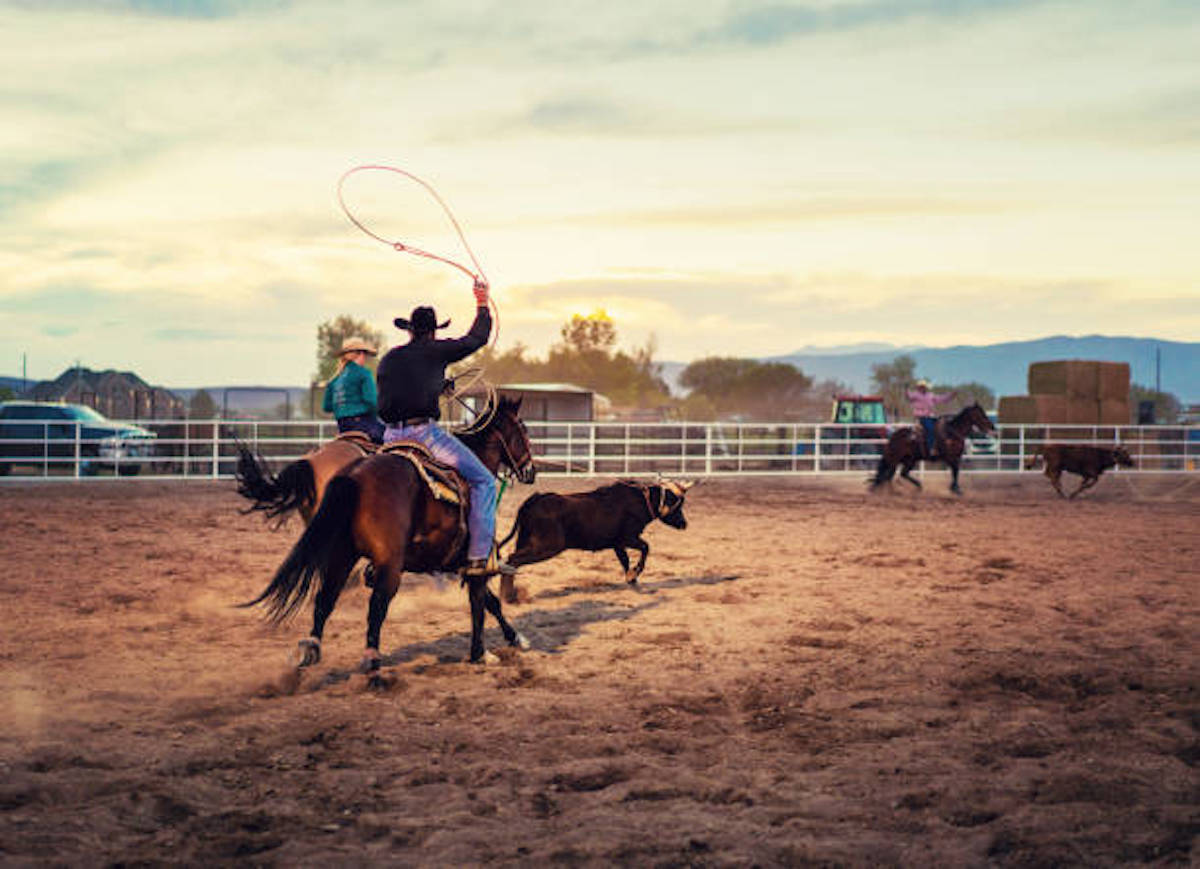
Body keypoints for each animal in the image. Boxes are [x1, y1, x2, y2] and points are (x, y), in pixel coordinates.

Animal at [241, 396, 537, 667]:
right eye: (523, 428)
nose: (531, 470)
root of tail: (354, 475)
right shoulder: (475, 560)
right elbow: (482, 602)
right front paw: (483, 652)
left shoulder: (455, 561)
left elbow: (489, 601)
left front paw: (514, 638)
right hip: (389, 564)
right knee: (377, 606)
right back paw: (372, 664)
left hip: (341, 552)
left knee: (326, 598)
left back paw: (311, 649)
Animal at [496, 477, 696, 600]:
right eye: (677, 504)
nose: (684, 524)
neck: (641, 501)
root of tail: (534, 499)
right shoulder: (628, 538)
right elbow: (646, 547)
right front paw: (634, 574)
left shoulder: (617, 544)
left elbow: (624, 560)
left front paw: (632, 580)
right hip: (546, 546)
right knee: (513, 559)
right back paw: (508, 596)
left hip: (527, 541)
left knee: (511, 560)